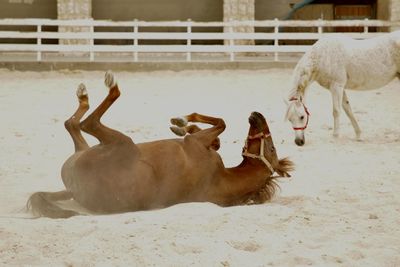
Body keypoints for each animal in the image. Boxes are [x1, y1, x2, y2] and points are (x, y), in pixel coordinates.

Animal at [26, 71, 292, 220]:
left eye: (271, 149)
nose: (257, 115)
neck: (220, 178)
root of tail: (75, 189)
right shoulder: (202, 144)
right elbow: (216, 135)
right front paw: (181, 125)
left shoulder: (195, 144)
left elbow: (221, 123)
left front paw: (182, 122)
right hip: (89, 147)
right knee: (74, 124)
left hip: (120, 143)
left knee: (85, 122)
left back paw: (104, 88)